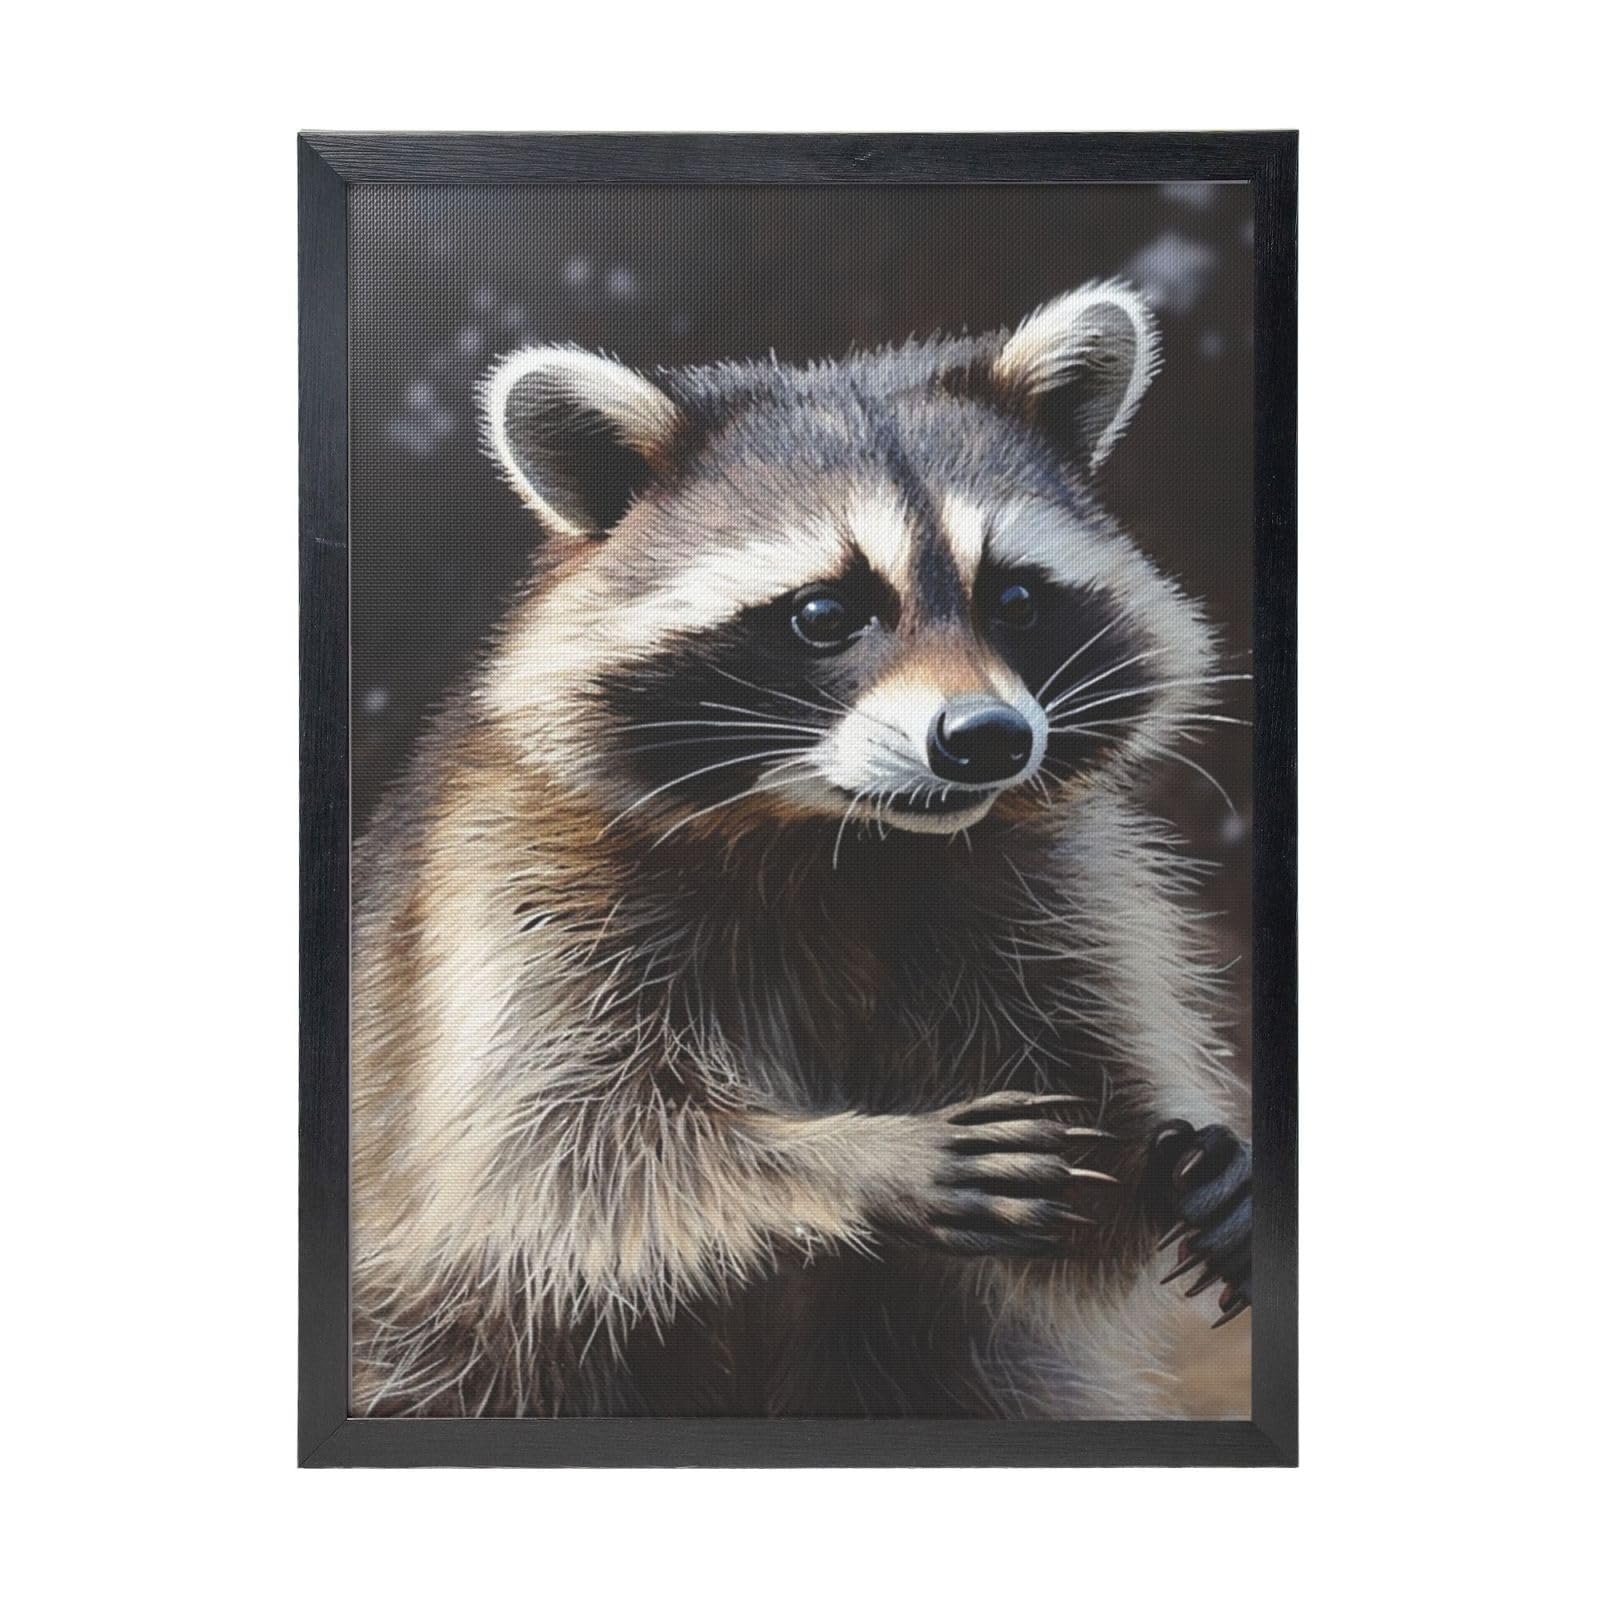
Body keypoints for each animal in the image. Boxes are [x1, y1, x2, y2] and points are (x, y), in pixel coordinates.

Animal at [351, 281, 1252, 1419]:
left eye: (1014, 599)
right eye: (824, 613)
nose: (987, 739)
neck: (846, 842)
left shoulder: (1048, 891)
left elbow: (1084, 1192)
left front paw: (1179, 1167)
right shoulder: (511, 885)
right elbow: (548, 1157)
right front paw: (856, 1158)